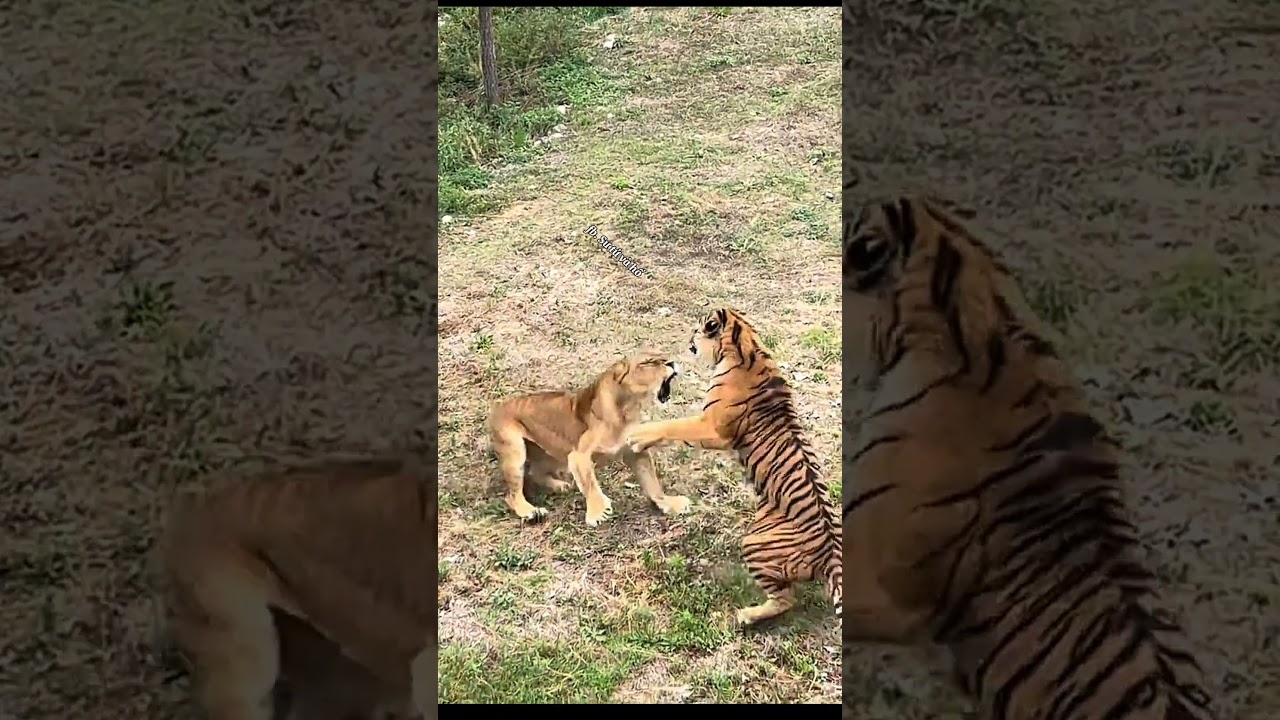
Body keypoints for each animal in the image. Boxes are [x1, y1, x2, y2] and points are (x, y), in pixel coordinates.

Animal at [487, 352, 689, 526]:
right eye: (648, 362)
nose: (671, 363)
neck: (627, 410)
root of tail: (498, 406)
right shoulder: (578, 455)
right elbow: (590, 483)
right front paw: (598, 512)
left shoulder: (635, 451)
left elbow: (652, 482)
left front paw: (670, 503)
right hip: (515, 452)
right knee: (511, 495)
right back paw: (531, 511)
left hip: (552, 453)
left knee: (535, 472)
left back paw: (560, 486)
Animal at [628, 308, 842, 626]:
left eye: (697, 329)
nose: (688, 339)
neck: (748, 346)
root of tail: (832, 553)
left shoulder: (711, 427)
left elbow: (672, 425)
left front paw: (637, 436)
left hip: (756, 543)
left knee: (785, 599)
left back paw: (746, 616)